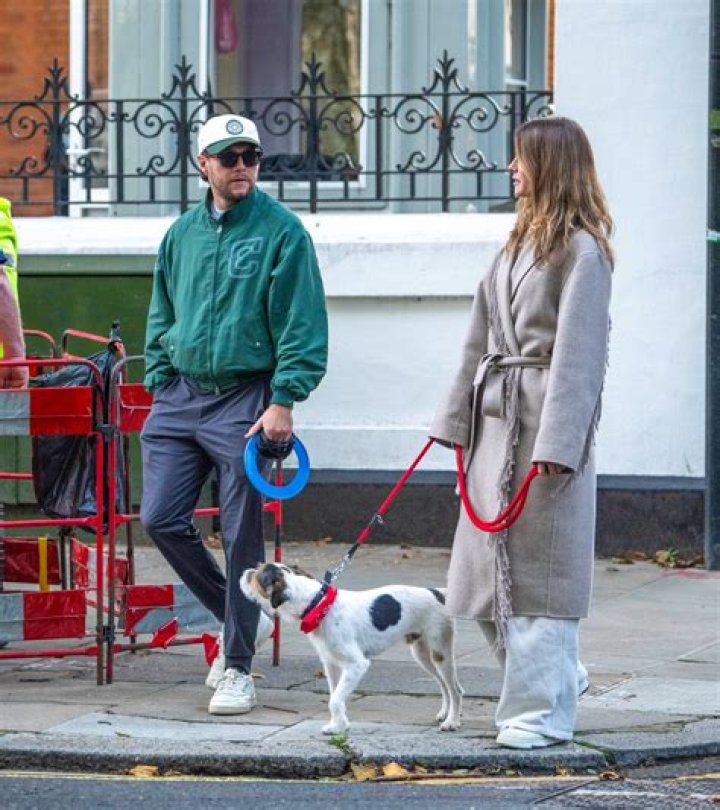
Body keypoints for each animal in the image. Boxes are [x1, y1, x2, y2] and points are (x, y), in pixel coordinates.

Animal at [240, 562, 463, 735]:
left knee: (455, 689)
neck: (317, 604)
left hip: (440, 652)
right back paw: (445, 713)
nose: (244, 572)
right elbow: (335, 696)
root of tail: (438, 594)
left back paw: (452, 722)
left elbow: (335, 700)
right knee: (443, 685)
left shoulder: (357, 665)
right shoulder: (332, 665)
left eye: (255, 576)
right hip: (422, 653)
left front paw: (338, 726)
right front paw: (338, 725)